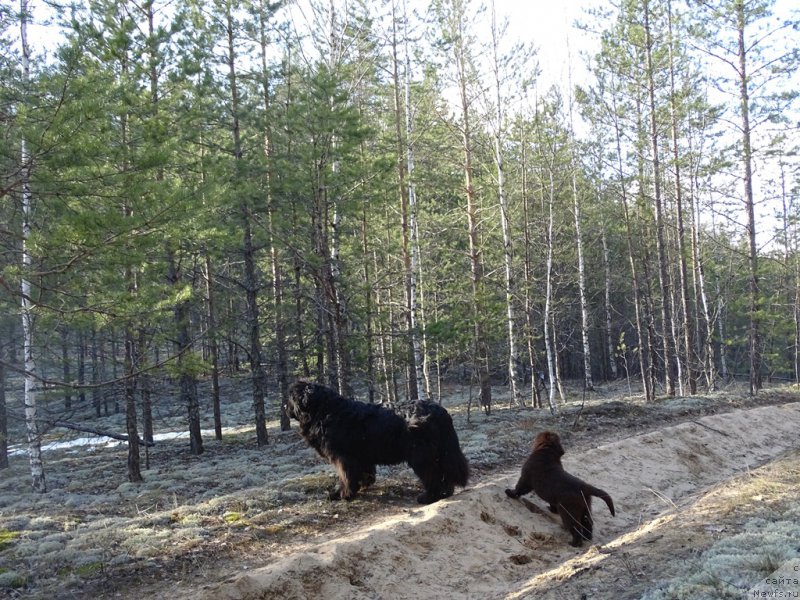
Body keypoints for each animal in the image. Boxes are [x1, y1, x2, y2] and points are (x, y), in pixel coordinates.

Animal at [288, 382, 468, 504]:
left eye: (290, 398)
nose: (284, 406)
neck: (324, 411)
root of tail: (440, 411)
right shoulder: (361, 456)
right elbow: (365, 472)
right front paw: (362, 485)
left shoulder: (343, 457)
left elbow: (345, 476)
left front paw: (341, 494)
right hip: (441, 452)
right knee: (444, 472)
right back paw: (445, 493)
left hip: (422, 455)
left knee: (433, 474)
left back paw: (429, 497)